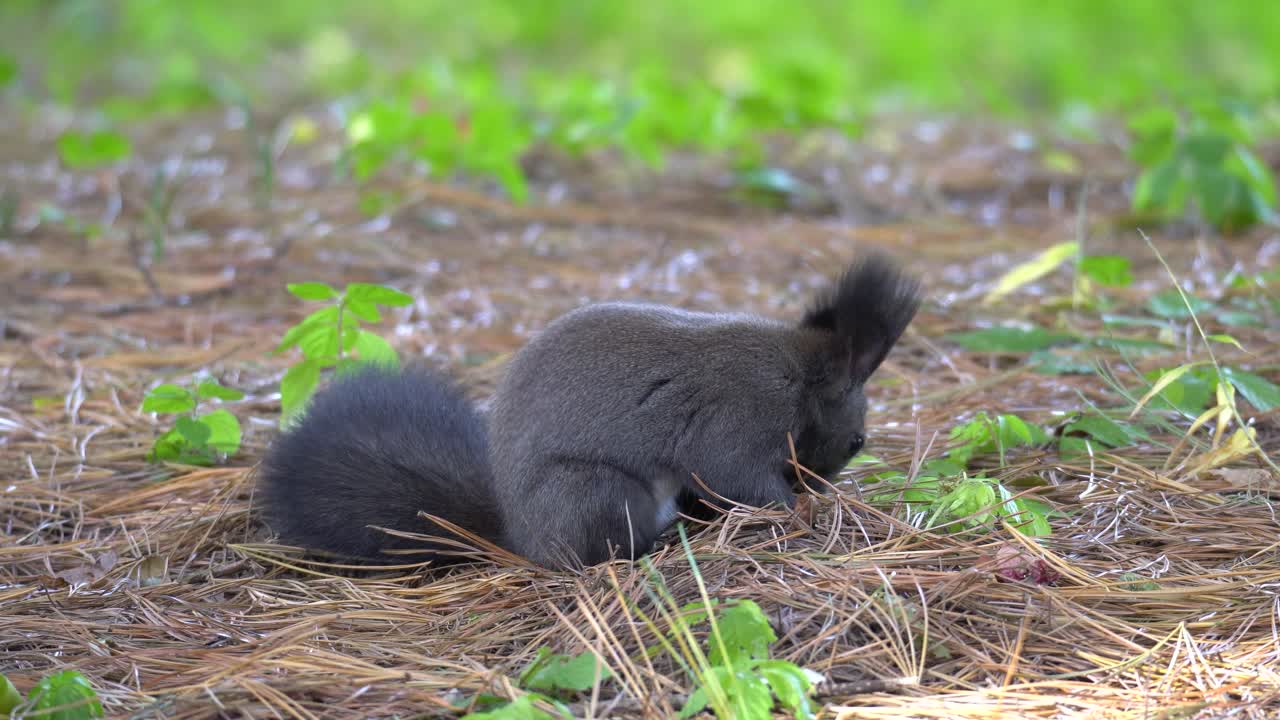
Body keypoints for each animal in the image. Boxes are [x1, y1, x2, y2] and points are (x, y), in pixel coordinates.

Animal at [258, 253, 922, 569]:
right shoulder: (742, 413)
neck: (798, 374)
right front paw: (797, 511)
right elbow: (732, 474)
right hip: (598, 494)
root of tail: (519, 533)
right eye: (858, 441)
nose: (824, 483)